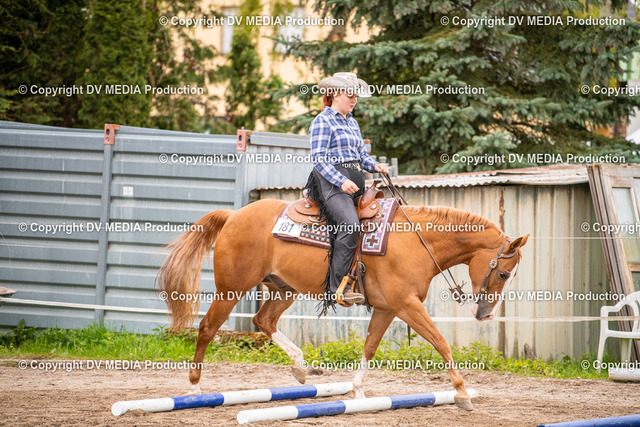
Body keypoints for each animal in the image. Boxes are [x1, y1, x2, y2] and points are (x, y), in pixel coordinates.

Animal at [157, 198, 529, 411]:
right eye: (504, 272)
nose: (486, 314)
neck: (415, 240)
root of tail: (233, 216)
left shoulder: (387, 308)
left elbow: (369, 347)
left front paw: (359, 392)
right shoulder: (406, 305)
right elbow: (441, 342)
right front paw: (462, 393)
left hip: (284, 289)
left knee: (264, 321)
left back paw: (301, 367)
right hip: (231, 289)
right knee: (207, 328)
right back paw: (196, 387)